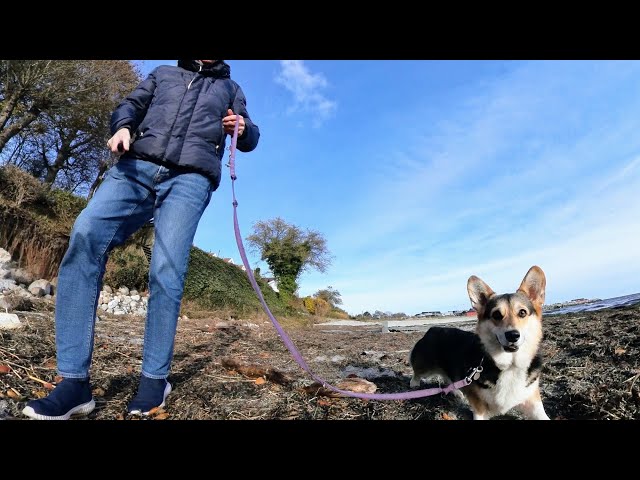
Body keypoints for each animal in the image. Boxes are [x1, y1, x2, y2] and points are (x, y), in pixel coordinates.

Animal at [410, 266, 552, 420]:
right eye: (496, 315)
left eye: (522, 313)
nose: (512, 335)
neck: (509, 366)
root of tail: (433, 328)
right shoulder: (479, 408)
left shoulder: (532, 400)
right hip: (425, 367)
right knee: (417, 372)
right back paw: (414, 384)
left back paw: (456, 392)